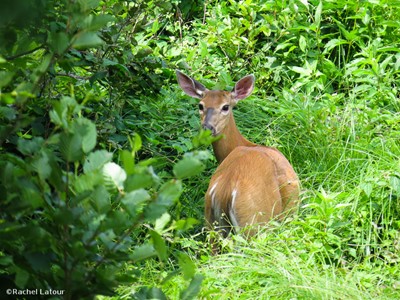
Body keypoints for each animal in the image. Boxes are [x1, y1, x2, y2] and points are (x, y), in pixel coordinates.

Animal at [177, 70, 298, 239]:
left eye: (225, 107)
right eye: (201, 105)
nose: (207, 128)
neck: (246, 144)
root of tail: (224, 191)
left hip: (211, 223)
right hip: (255, 221)